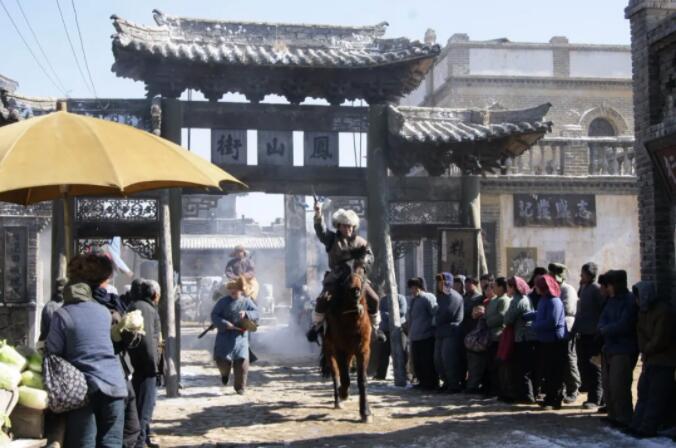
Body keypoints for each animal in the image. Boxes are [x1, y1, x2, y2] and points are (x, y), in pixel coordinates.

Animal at [321, 267, 373, 423]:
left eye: (362, 273)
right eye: (345, 277)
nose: (355, 290)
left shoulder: (363, 351)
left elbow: (362, 380)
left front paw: (365, 412)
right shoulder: (340, 350)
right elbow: (344, 378)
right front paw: (343, 393)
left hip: (349, 353)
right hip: (330, 351)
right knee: (336, 375)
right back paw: (338, 400)